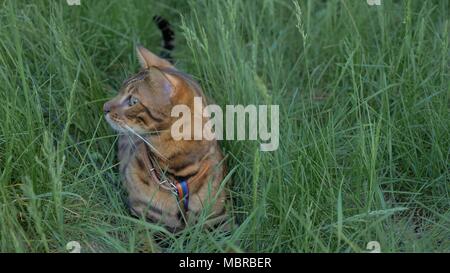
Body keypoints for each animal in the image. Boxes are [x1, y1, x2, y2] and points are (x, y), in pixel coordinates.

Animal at [102, 17, 229, 232]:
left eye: (133, 101)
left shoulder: (221, 220)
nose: (105, 107)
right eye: (119, 91)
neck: (176, 174)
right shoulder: (144, 218)